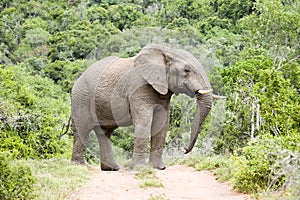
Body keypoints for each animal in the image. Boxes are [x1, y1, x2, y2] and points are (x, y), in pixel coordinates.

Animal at [70, 44, 212, 171]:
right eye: (187, 70)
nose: (184, 150)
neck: (166, 52)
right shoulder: (139, 87)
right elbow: (144, 121)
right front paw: (140, 168)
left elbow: (162, 124)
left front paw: (159, 168)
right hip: (81, 97)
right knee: (82, 128)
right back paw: (79, 166)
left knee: (105, 133)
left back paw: (111, 168)